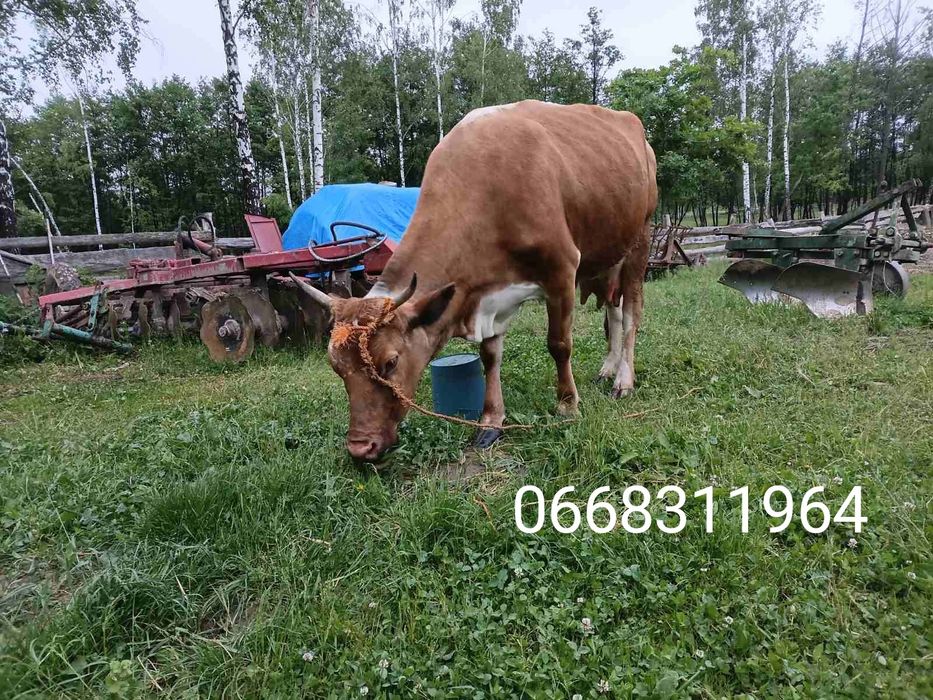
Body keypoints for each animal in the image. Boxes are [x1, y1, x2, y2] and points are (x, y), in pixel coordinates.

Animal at [291, 100, 658, 461]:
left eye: (391, 362)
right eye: (336, 367)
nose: (360, 447)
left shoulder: (562, 270)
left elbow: (559, 344)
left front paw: (567, 406)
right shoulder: (489, 294)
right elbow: (490, 356)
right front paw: (491, 421)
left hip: (640, 241)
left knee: (631, 314)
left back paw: (624, 379)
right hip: (608, 255)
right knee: (613, 310)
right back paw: (608, 367)